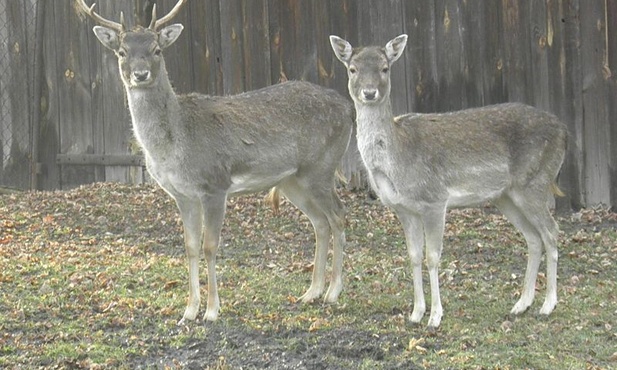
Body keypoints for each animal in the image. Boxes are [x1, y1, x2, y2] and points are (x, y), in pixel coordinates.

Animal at [76, 0, 352, 322]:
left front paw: (211, 310)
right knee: (319, 222)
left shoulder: (215, 184)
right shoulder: (182, 194)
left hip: (322, 167)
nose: (141, 74)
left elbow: (210, 247)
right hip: (292, 180)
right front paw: (188, 310)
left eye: (157, 49)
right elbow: (190, 247)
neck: (174, 146)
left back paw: (333, 292)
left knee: (338, 215)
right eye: (122, 51)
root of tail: (348, 109)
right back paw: (311, 292)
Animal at [330, 34, 564, 328]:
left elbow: (432, 257)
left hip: (535, 183)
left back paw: (548, 305)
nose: (369, 93)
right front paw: (416, 313)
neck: (397, 161)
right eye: (352, 69)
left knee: (551, 232)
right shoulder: (403, 208)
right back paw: (521, 304)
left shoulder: (435, 200)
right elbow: (414, 256)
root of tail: (564, 132)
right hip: (506, 196)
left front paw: (435, 316)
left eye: (385, 68)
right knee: (533, 238)